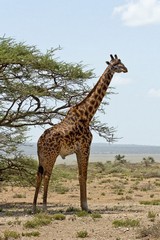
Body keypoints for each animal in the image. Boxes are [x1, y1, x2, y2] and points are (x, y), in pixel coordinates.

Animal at [32, 54, 127, 212]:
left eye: (121, 63)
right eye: (116, 65)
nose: (126, 69)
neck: (88, 115)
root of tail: (39, 142)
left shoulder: (77, 150)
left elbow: (80, 175)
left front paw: (83, 206)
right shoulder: (85, 147)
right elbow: (85, 175)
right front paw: (86, 207)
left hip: (42, 157)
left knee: (39, 175)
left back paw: (33, 208)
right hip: (51, 155)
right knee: (46, 175)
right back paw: (44, 207)